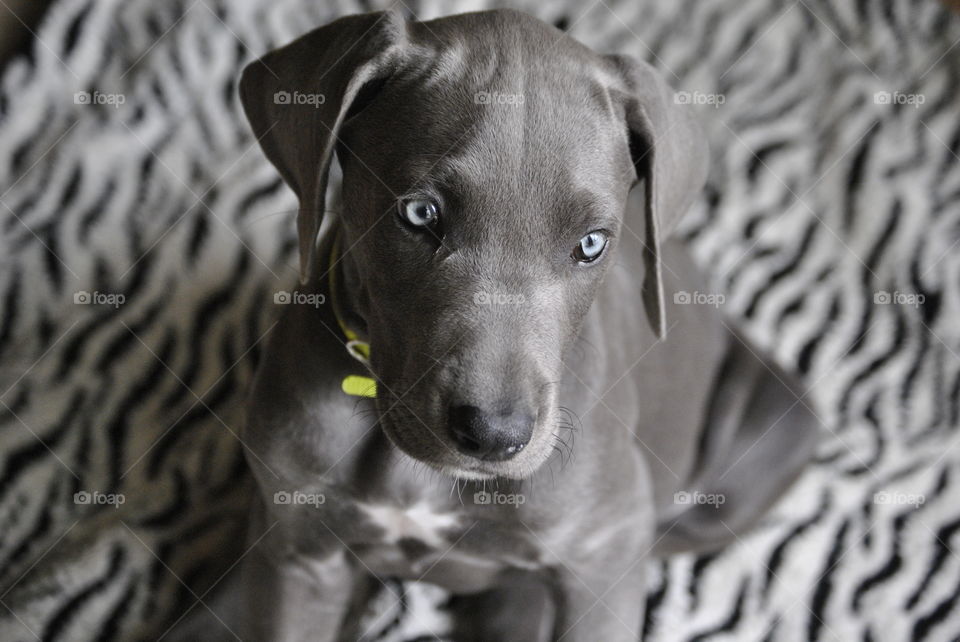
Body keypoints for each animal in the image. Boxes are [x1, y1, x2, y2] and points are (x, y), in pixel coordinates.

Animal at [234, 6, 816, 640]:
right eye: (419, 213)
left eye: (591, 243)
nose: (493, 434)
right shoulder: (300, 558)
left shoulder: (605, 553)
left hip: (781, 417)